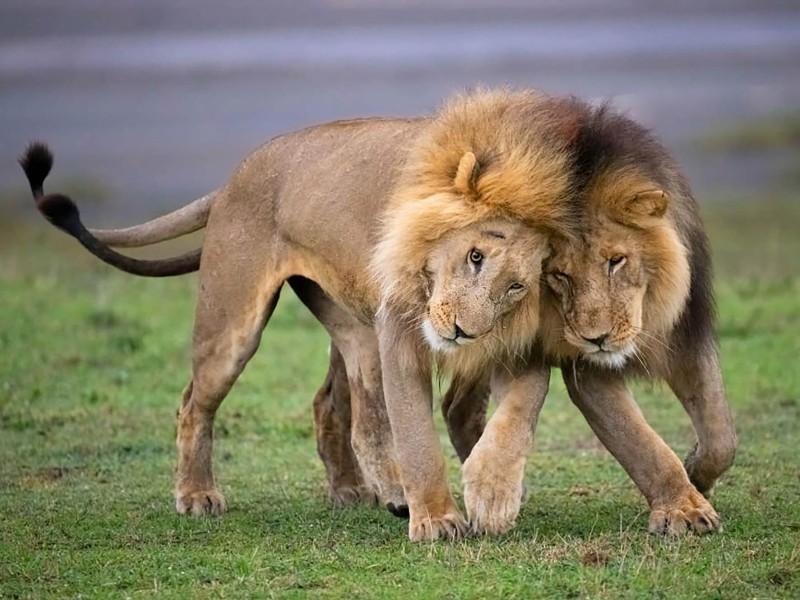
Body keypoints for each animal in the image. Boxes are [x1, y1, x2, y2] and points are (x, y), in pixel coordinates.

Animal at [20, 89, 579, 541]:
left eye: (517, 286)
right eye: (474, 256)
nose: (463, 330)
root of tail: (234, 177)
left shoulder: (511, 342)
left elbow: (501, 415)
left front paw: (492, 494)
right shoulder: (400, 327)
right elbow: (418, 433)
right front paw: (438, 520)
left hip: (349, 320)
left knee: (339, 404)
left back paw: (357, 489)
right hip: (238, 324)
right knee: (197, 403)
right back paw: (199, 495)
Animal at [441, 100, 736, 535]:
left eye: (616, 261)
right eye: (560, 275)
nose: (597, 338)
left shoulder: (685, 336)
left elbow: (721, 434)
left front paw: (697, 473)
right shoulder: (586, 369)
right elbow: (638, 439)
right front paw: (682, 509)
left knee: (456, 407)